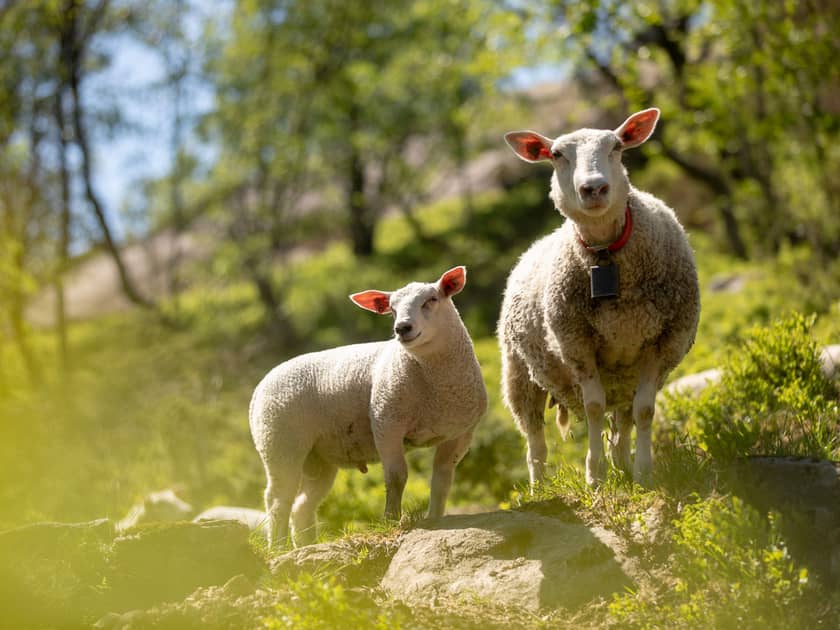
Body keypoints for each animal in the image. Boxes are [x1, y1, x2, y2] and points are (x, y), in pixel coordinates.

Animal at [249, 266, 486, 548]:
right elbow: (396, 476)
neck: (436, 384)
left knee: (302, 506)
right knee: (277, 499)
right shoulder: (386, 422)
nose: (402, 328)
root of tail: (259, 388)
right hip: (279, 442)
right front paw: (391, 521)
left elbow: (442, 480)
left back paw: (306, 545)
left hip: (318, 458)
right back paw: (278, 547)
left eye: (431, 300)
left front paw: (435, 518)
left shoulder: (460, 434)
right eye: (392, 309)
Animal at [498, 108, 704, 486]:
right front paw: (595, 476)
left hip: (624, 377)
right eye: (556, 154)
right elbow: (593, 407)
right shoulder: (576, 344)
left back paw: (623, 464)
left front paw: (644, 475)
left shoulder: (662, 342)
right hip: (519, 373)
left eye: (616, 146)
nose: (593, 188)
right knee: (534, 437)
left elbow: (645, 411)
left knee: (623, 418)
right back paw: (539, 487)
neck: (608, 253)